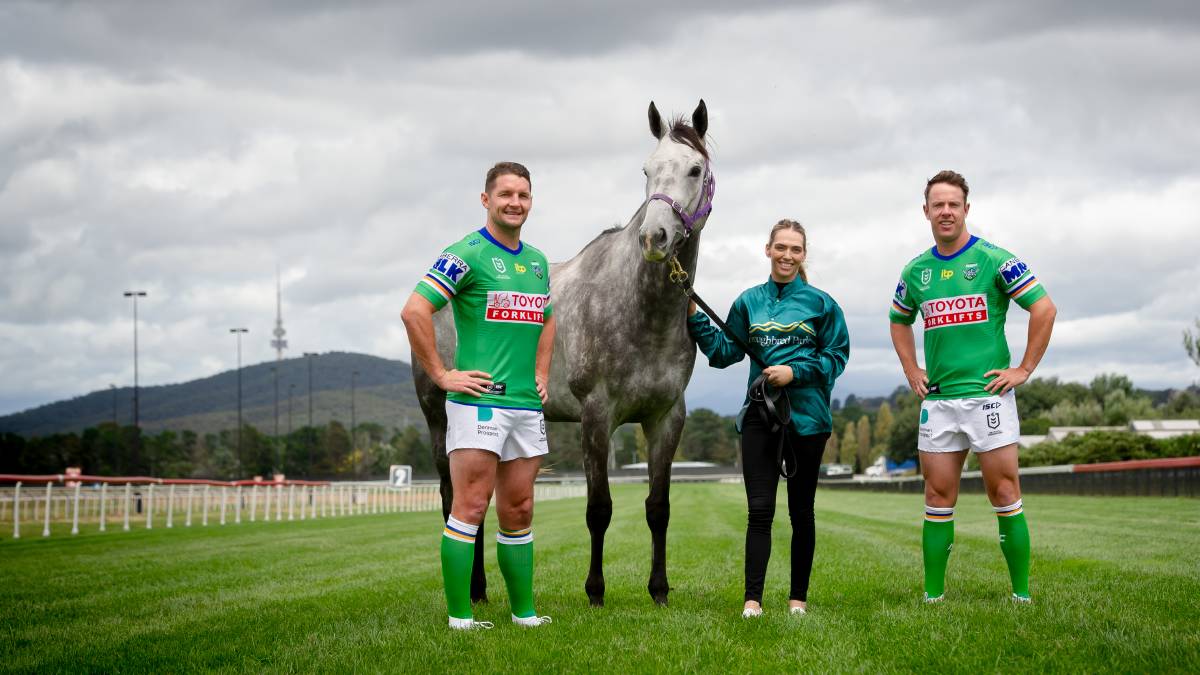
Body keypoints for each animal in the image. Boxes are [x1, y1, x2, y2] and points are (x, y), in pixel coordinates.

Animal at [412, 98, 710, 605]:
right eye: (646, 170)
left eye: (694, 169)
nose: (654, 238)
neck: (641, 310)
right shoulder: (597, 415)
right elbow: (599, 509)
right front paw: (595, 591)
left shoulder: (667, 417)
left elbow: (658, 508)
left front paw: (659, 590)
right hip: (440, 421)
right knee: (456, 500)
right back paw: (473, 591)